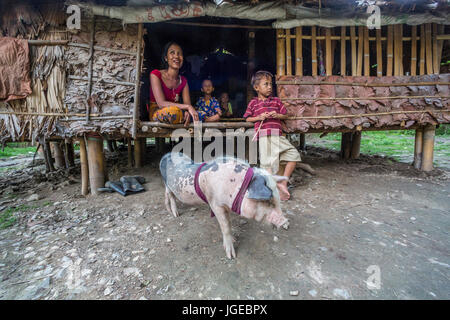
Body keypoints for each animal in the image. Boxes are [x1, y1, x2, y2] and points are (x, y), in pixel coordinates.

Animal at [160, 151, 290, 258]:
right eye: (268, 201)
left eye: (277, 198)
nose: (285, 221)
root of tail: (166, 155)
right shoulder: (215, 204)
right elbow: (225, 226)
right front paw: (231, 256)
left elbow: (229, 223)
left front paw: (234, 239)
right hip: (167, 184)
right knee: (170, 195)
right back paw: (175, 214)